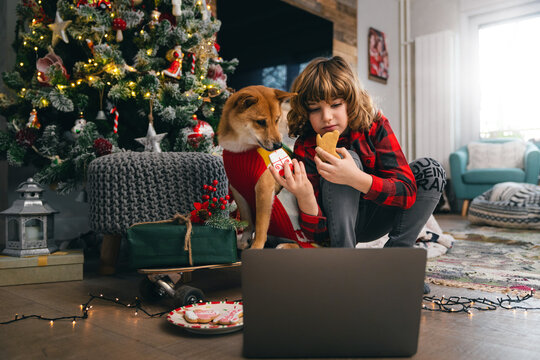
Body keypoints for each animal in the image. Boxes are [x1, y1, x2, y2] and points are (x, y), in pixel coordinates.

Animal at [217, 86, 314, 250]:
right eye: (261, 122)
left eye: (277, 119)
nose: (278, 145)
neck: (241, 150)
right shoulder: (237, 189)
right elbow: (247, 220)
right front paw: (245, 240)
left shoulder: (264, 189)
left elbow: (261, 224)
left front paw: (256, 246)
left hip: (284, 199)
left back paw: (287, 246)